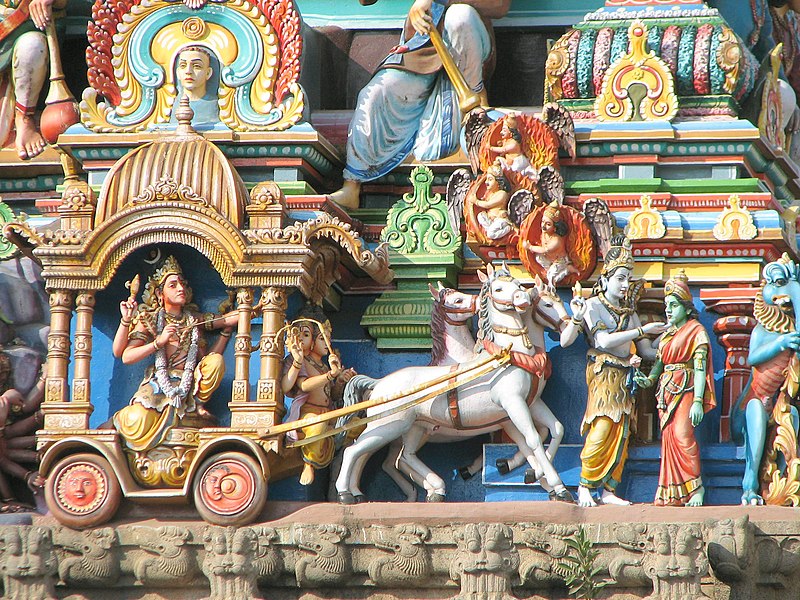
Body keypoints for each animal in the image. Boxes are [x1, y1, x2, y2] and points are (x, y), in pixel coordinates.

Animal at [338, 264, 576, 504]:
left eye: (518, 284)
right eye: (498, 289)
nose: (522, 298)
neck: (512, 354)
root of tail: (378, 384)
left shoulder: (530, 404)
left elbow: (554, 429)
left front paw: (537, 477)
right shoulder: (512, 405)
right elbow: (533, 439)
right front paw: (557, 486)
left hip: (413, 427)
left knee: (402, 456)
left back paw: (431, 490)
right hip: (389, 425)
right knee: (356, 451)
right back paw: (347, 493)